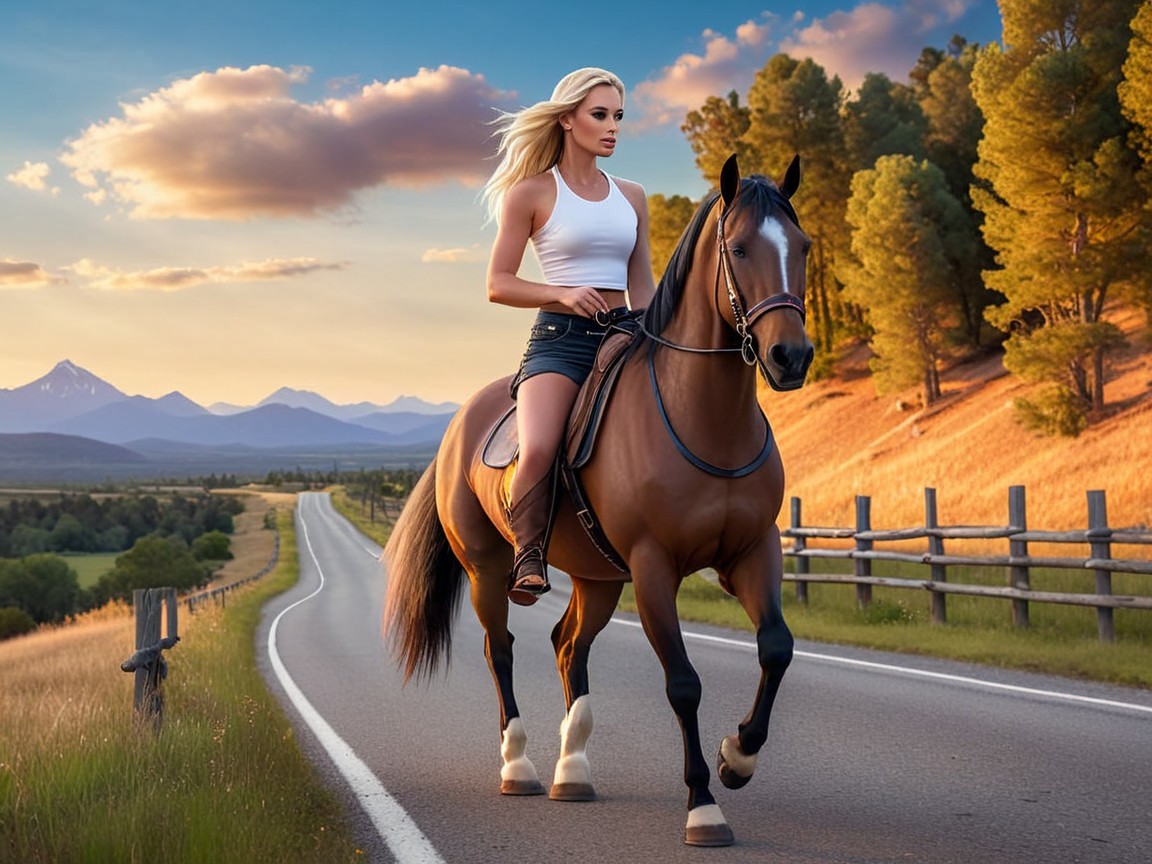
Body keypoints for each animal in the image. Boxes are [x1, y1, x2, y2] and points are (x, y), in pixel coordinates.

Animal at [383, 153, 813, 847]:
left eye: (802, 247)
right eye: (741, 248)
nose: (791, 356)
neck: (704, 417)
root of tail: (459, 422)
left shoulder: (753, 551)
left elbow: (776, 646)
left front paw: (737, 758)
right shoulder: (654, 566)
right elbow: (683, 684)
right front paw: (703, 805)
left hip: (597, 575)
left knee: (567, 644)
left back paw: (574, 772)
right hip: (488, 568)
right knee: (501, 647)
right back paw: (521, 766)